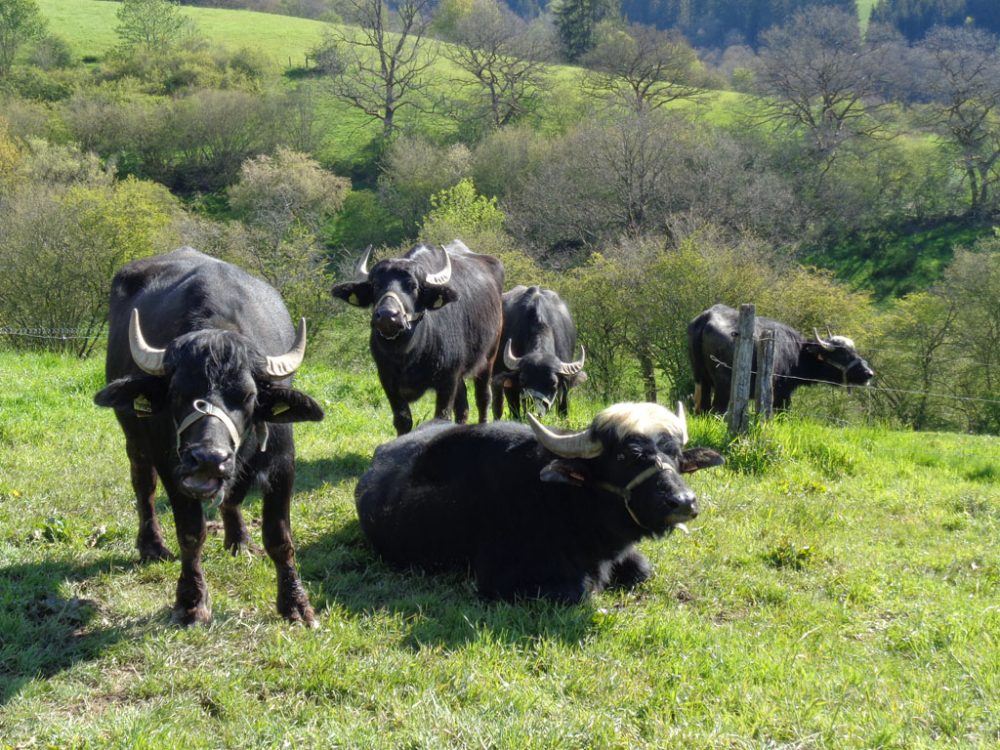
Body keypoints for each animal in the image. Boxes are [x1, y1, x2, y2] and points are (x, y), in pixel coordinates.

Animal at [94, 248, 324, 628]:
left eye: (248, 396)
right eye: (177, 392)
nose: (208, 459)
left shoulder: (282, 462)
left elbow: (279, 538)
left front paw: (295, 604)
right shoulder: (172, 466)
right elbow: (191, 532)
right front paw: (191, 602)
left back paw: (238, 540)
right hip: (134, 437)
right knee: (144, 486)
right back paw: (152, 545)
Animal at [332, 241, 504, 438]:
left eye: (413, 286)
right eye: (375, 285)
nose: (387, 315)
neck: (408, 354)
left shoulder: (447, 379)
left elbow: (441, 418)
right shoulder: (387, 379)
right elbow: (403, 420)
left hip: (489, 357)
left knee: (483, 399)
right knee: (463, 407)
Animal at [356, 402, 724, 604]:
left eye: (676, 455)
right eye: (626, 456)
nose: (683, 502)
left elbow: (643, 570)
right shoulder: (498, 579)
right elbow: (577, 590)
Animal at [490, 284, 584, 420]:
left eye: (553, 382)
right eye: (522, 380)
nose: (535, 411)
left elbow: (563, 410)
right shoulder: (510, 388)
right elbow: (515, 412)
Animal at [688, 302, 876, 414]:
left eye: (853, 351)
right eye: (842, 353)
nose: (869, 373)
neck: (797, 353)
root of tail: (707, 316)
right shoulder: (782, 393)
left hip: (701, 379)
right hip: (723, 384)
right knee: (717, 409)